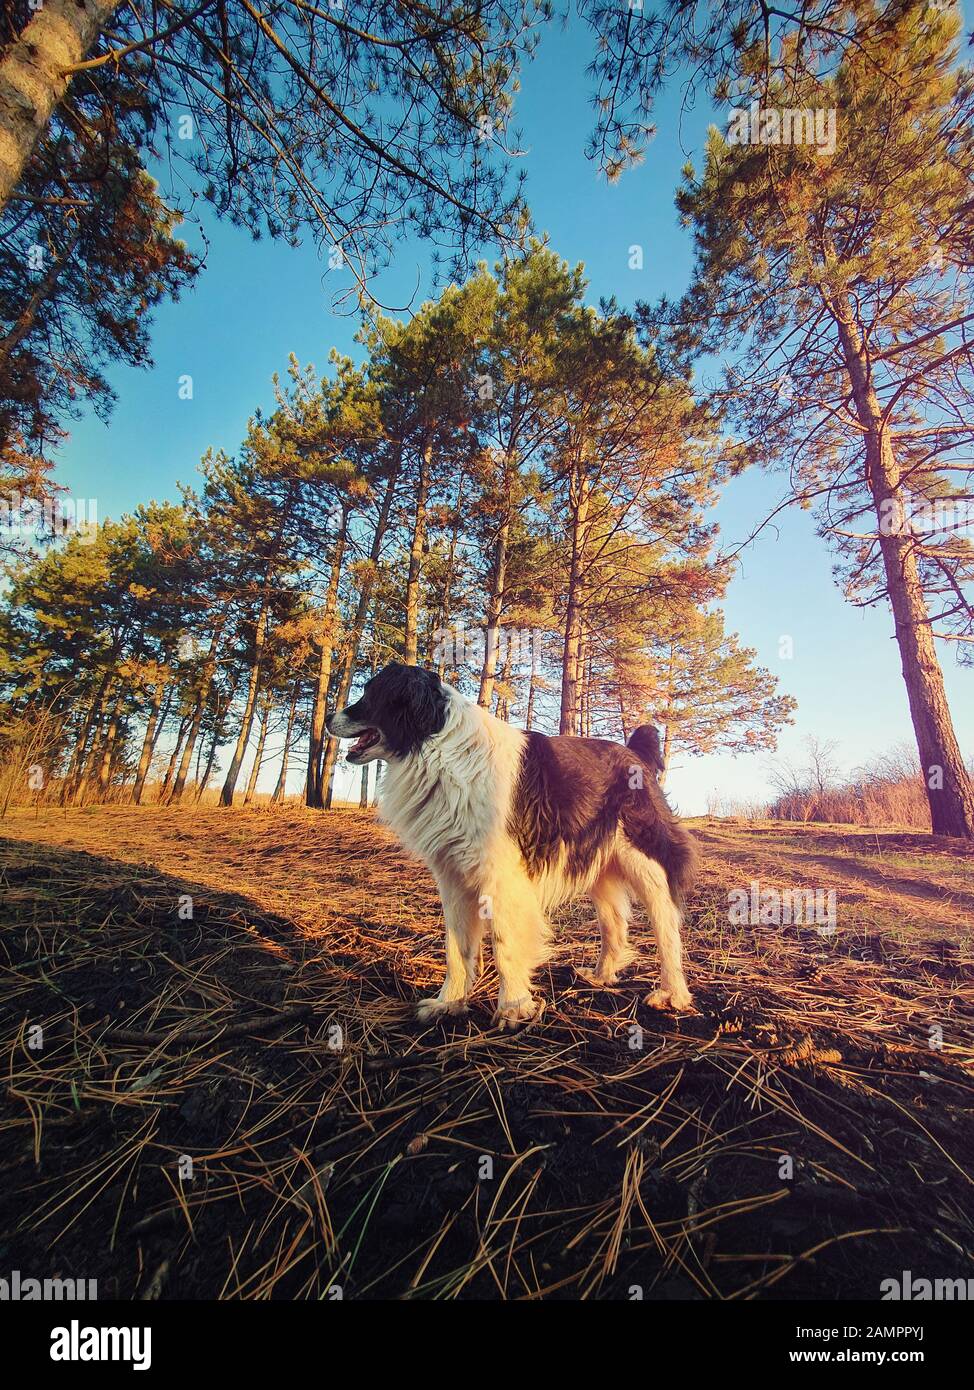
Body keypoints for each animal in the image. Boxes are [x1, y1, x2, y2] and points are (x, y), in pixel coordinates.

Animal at [325, 661, 691, 1034]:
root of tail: (635, 753)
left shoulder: (503, 880)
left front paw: (513, 1008)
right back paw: (601, 976)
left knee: (667, 924)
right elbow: (456, 948)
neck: (439, 749)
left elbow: (505, 947)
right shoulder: (453, 878)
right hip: (596, 864)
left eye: (371, 692)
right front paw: (449, 1003)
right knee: (614, 922)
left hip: (645, 860)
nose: (326, 718)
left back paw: (672, 993)